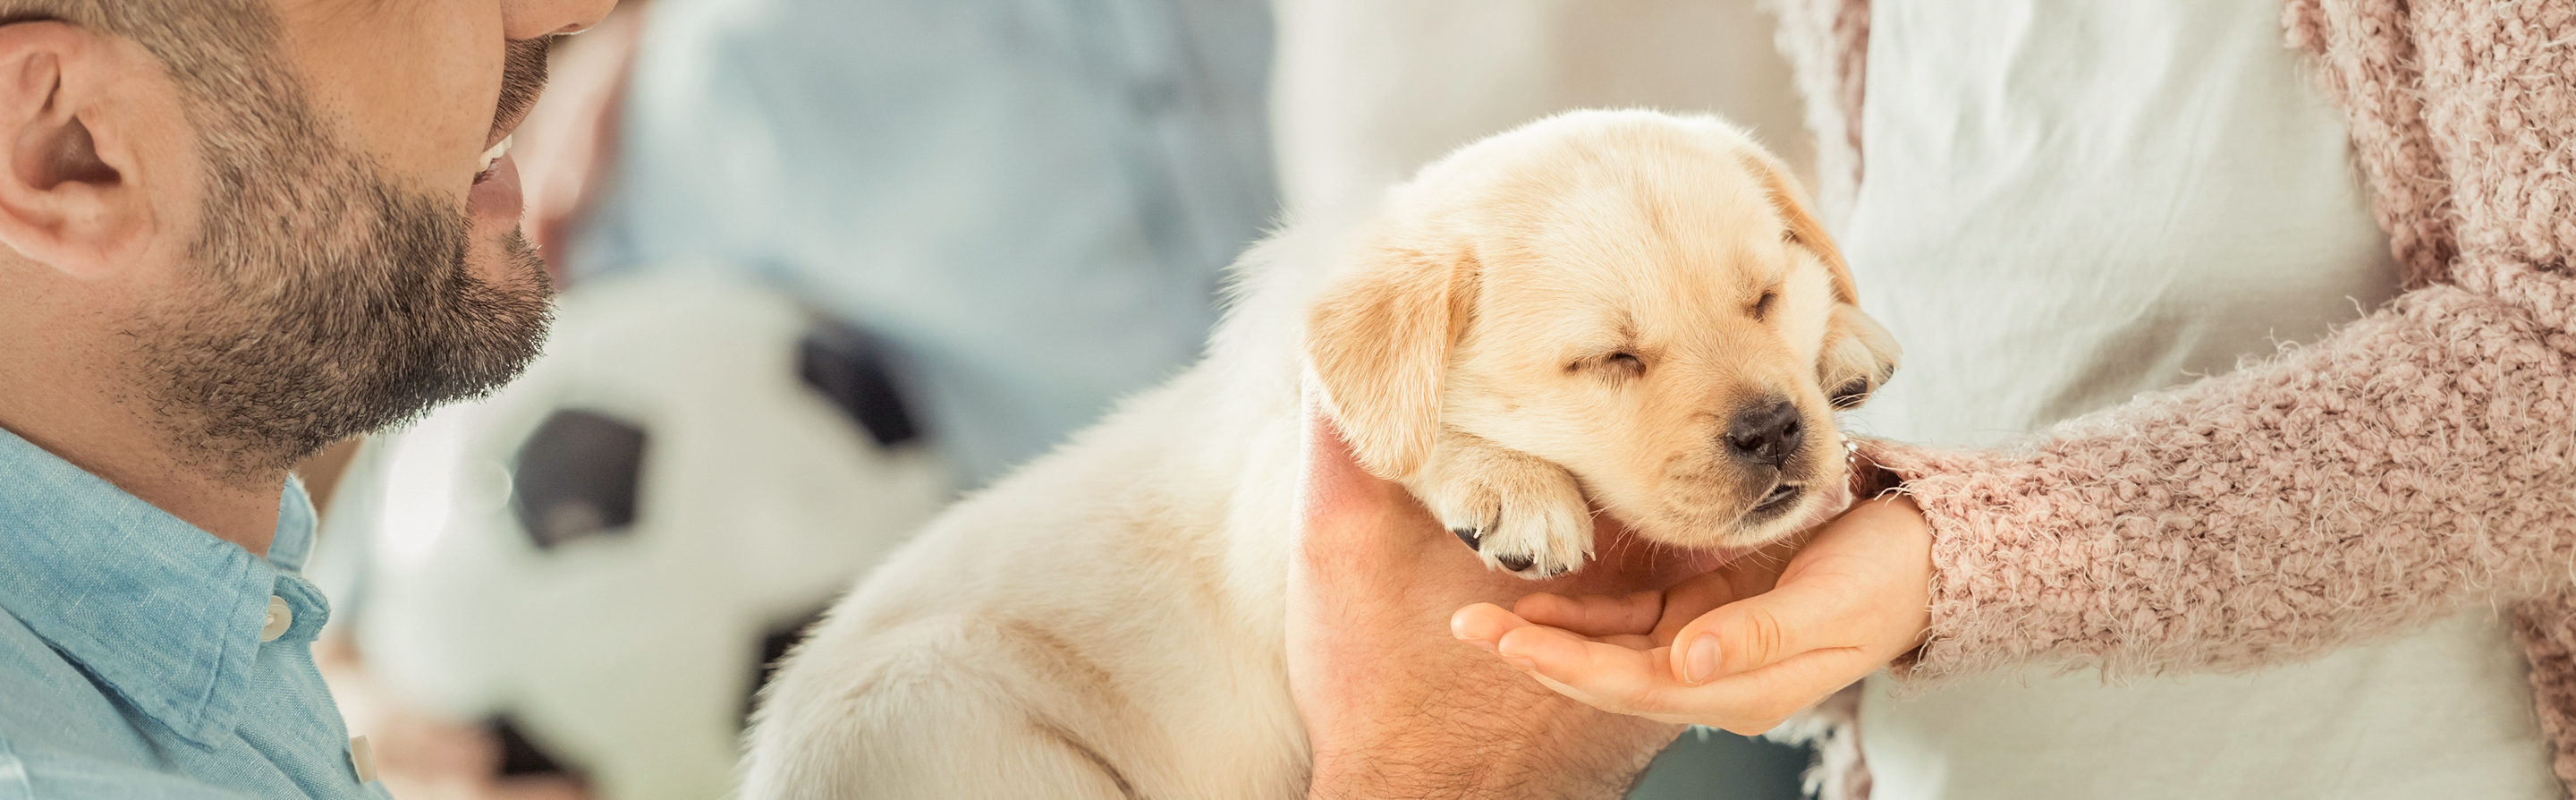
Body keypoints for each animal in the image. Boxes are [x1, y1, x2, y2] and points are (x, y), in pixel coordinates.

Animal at [736, 109, 1906, 795]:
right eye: (1609, 360)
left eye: (1764, 297)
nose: (1775, 429)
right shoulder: (1275, 500)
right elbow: (1387, 432)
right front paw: (1503, 483)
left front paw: (1846, 343)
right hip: (945, 718)